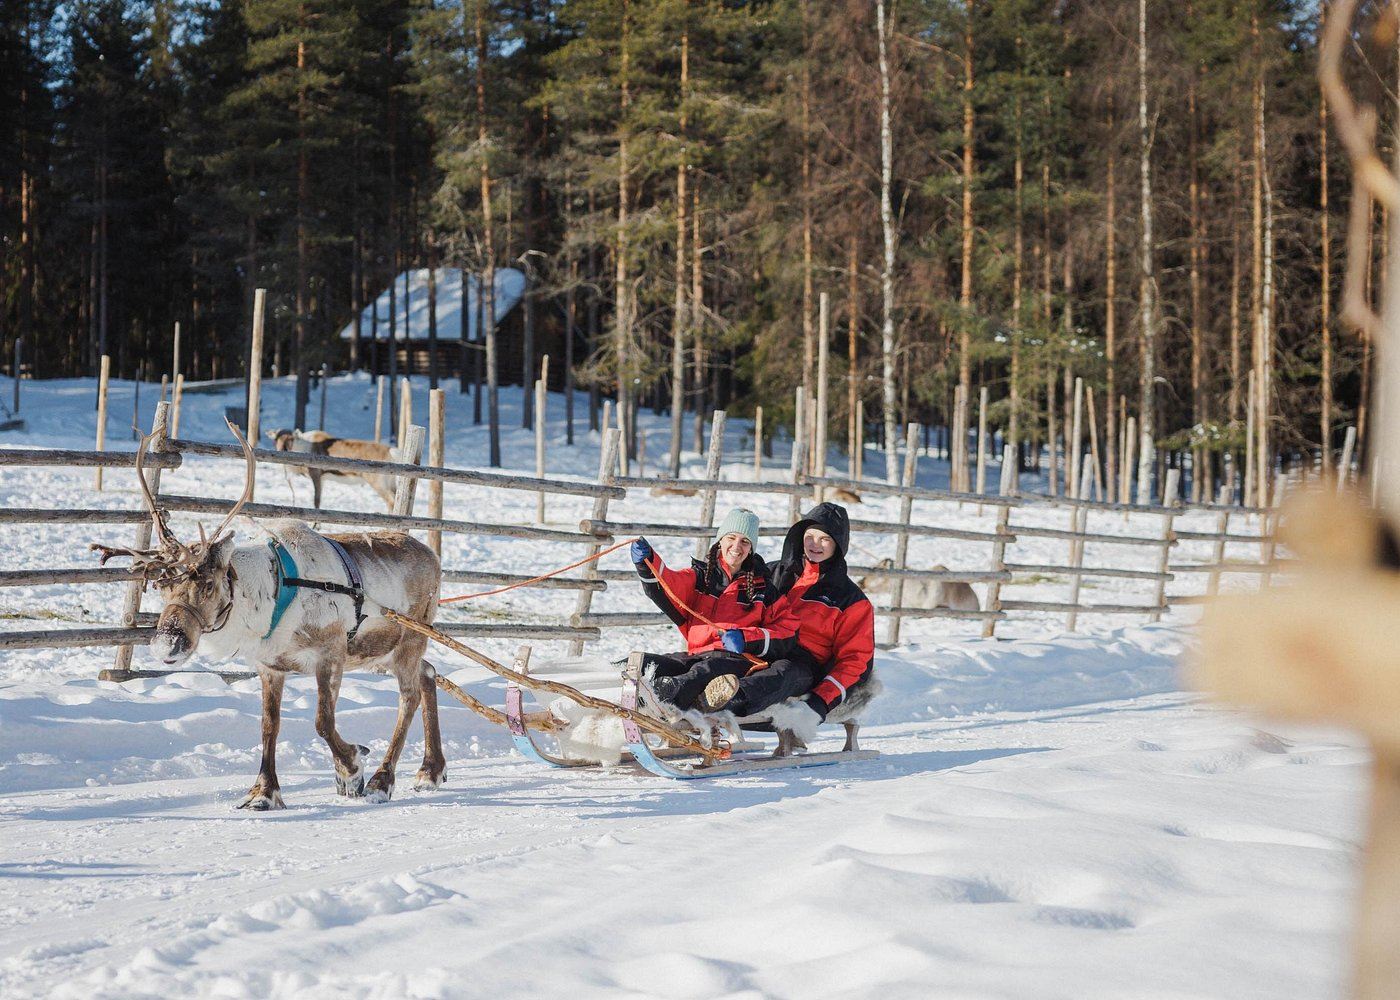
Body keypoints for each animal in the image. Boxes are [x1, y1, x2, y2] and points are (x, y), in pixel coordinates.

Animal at [267, 429, 398, 510]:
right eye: (276, 439)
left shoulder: (316, 474)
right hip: (391, 482)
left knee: (390, 501)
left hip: (378, 482)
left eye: (291, 439)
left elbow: (316, 500)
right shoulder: (323, 479)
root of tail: (390, 452)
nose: (282, 449)